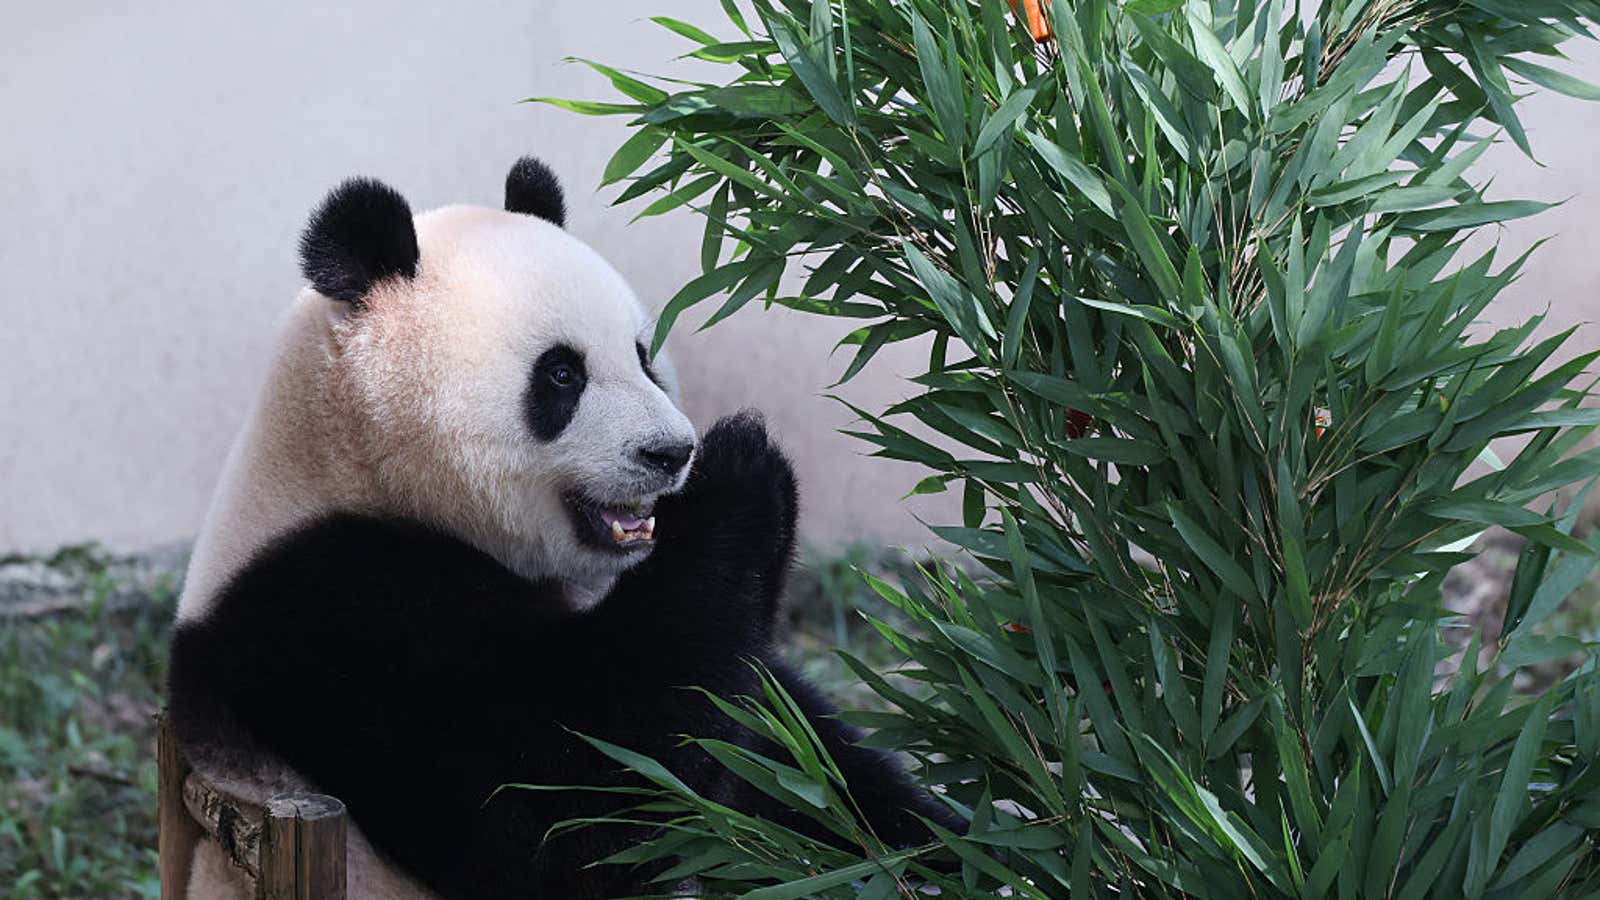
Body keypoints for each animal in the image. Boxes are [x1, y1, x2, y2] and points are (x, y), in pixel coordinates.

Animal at [166, 157, 960, 899]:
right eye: (560, 375)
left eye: (642, 356)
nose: (671, 452)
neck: (354, 464)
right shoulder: (331, 617)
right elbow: (573, 809)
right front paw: (741, 467)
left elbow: (793, 760)